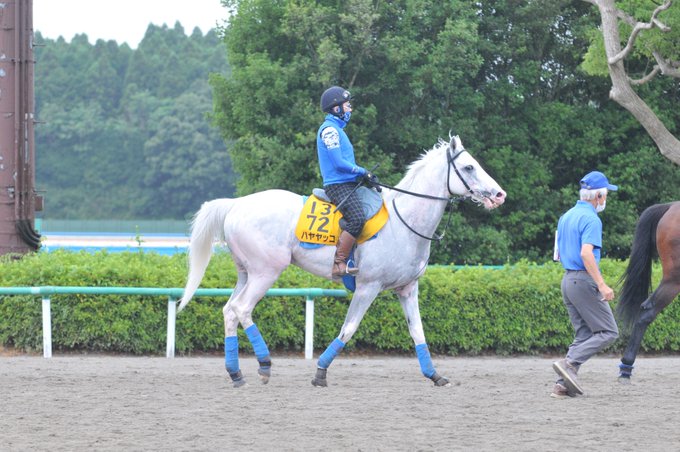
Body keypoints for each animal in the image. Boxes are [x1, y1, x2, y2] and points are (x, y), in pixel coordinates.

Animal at [177, 135, 506, 387]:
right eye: (469, 167)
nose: (499, 194)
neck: (405, 222)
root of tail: (236, 205)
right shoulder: (367, 287)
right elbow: (348, 329)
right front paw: (320, 372)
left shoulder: (407, 289)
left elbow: (418, 333)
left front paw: (435, 375)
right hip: (265, 273)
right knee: (242, 309)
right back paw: (265, 363)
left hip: (246, 273)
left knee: (229, 311)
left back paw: (236, 373)